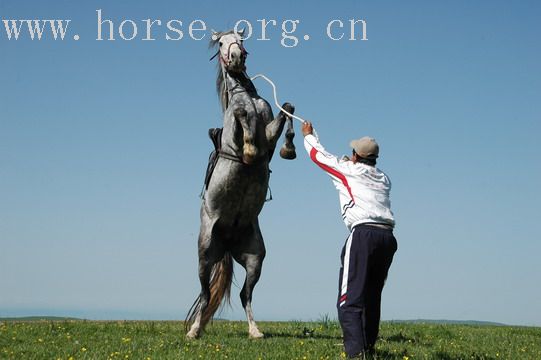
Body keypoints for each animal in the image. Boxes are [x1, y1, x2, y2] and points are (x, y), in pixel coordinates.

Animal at [186, 29, 296, 338]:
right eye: (222, 43)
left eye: (241, 39)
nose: (237, 56)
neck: (245, 95)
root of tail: (226, 242)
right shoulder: (236, 128)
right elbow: (241, 117)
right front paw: (248, 149)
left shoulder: (269, 131)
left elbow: (287, 109)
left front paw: (289, 146)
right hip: (205, 254)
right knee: (205, 294)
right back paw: (194, 330)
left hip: (255, 258)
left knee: (245, 294)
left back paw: (255, 331)